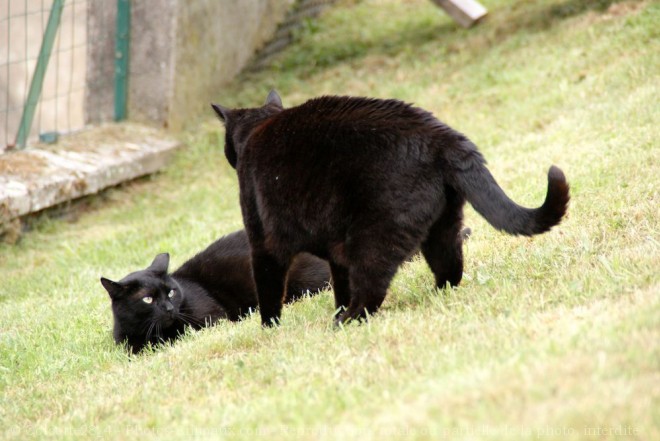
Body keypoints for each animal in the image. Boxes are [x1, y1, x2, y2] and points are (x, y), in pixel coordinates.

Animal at [210, 91, 568, 324]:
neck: (258, 128)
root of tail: (442, 136)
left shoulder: (263, 242)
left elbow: (269, 290)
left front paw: (269, 327)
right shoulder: (333, 248)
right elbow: (339, 282)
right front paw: (336, 307)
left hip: (372, 238)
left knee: (372, 288)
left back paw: (347, 321)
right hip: (441, 226)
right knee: (450, 267)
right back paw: (434, 295)